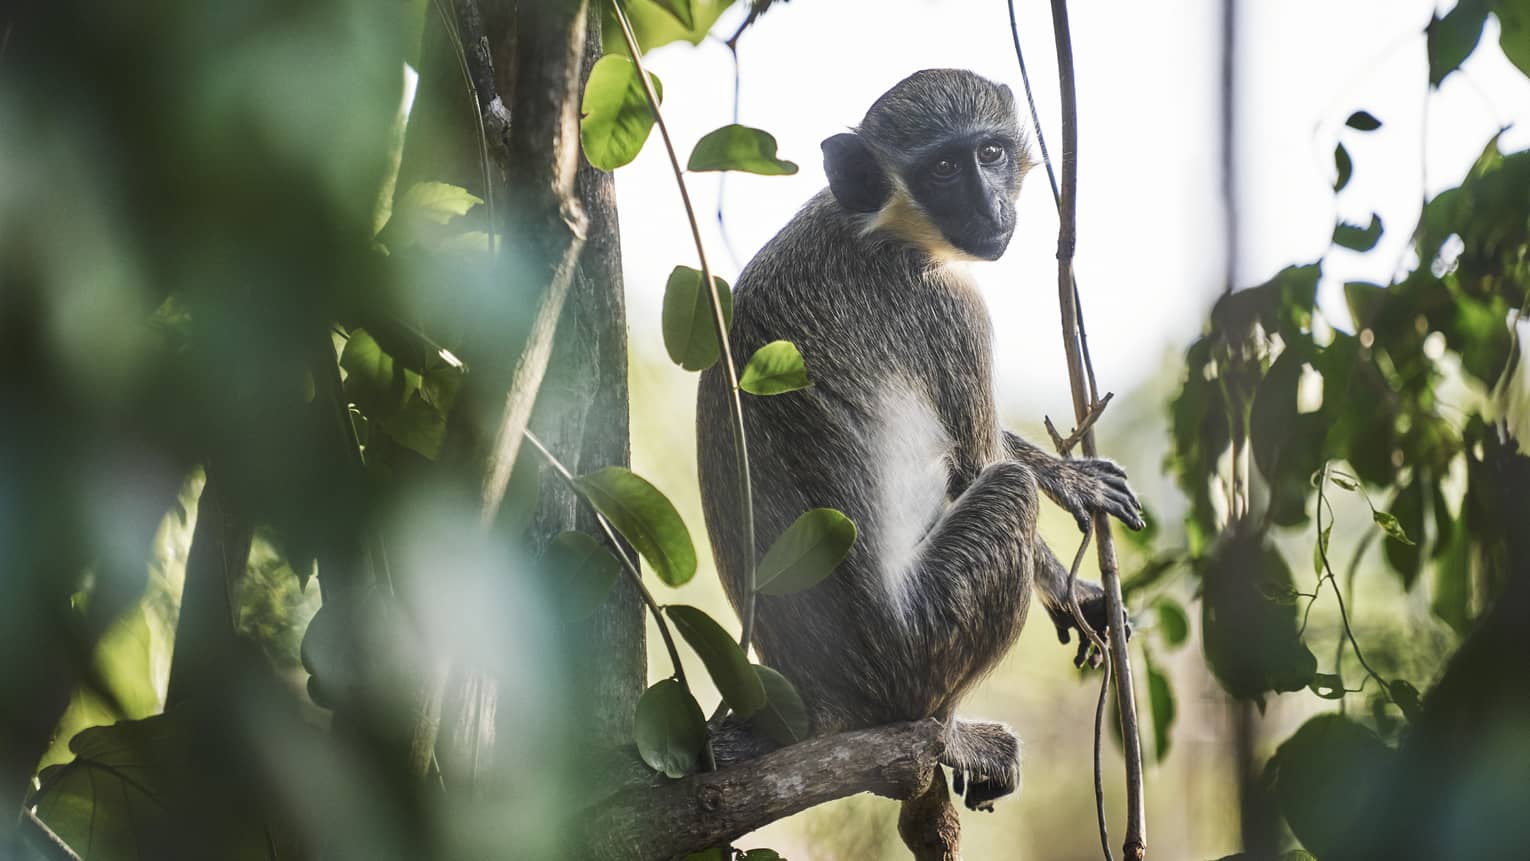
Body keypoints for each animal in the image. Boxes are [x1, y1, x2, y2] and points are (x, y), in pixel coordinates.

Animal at [696, 69, 1144, 813]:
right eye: (942, 169)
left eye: (989, 153)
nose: (991, 205)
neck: (871, 224)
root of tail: (820, 703)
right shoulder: (950, 306)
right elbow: (976, 463)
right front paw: (1066, 554)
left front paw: (1065, 488)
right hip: (923, 650)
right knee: (1004, 492)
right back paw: (945, 734)